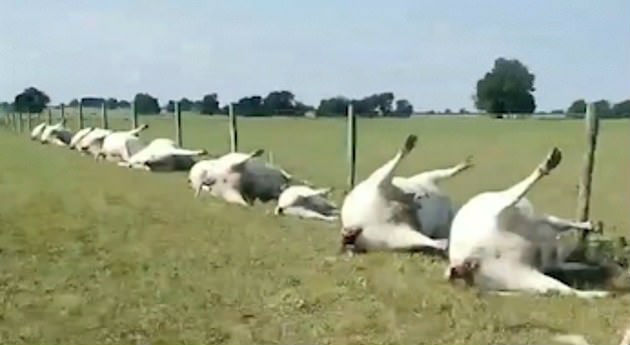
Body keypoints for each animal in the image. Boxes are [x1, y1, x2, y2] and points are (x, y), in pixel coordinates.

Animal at [446, 146, 608, 296]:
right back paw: (550, 161)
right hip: (500, 209)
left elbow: (562, 229)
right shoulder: (539, 218)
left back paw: (600, 293)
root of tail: (464, 262)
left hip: (517, 275)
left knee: (566, 291)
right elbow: (559, 222)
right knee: (518, 191)